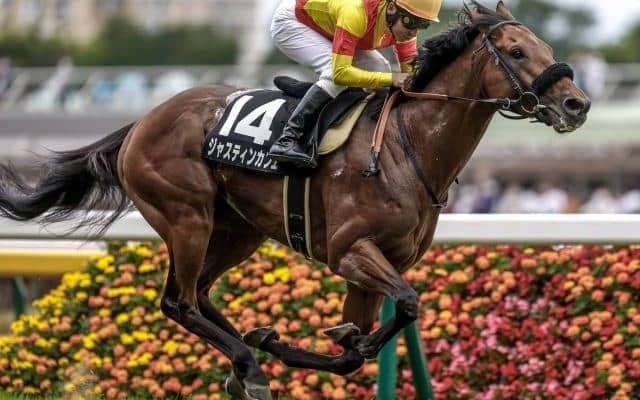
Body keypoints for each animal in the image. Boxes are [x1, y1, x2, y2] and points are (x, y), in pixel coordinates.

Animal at [0, 2, 589, 399]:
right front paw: (280, 345)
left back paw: (245, 361)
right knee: (179, 301)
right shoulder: (350, 252)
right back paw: (249, 365)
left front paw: (288, 338)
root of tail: (142, 122)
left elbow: (359, 347)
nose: (577, 104)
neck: (407, 146)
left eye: (548, 50)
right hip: (186, 216)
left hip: (237, 230)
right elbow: (406, 306)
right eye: (516, 51)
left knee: (202, 295)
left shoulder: (375, 267)